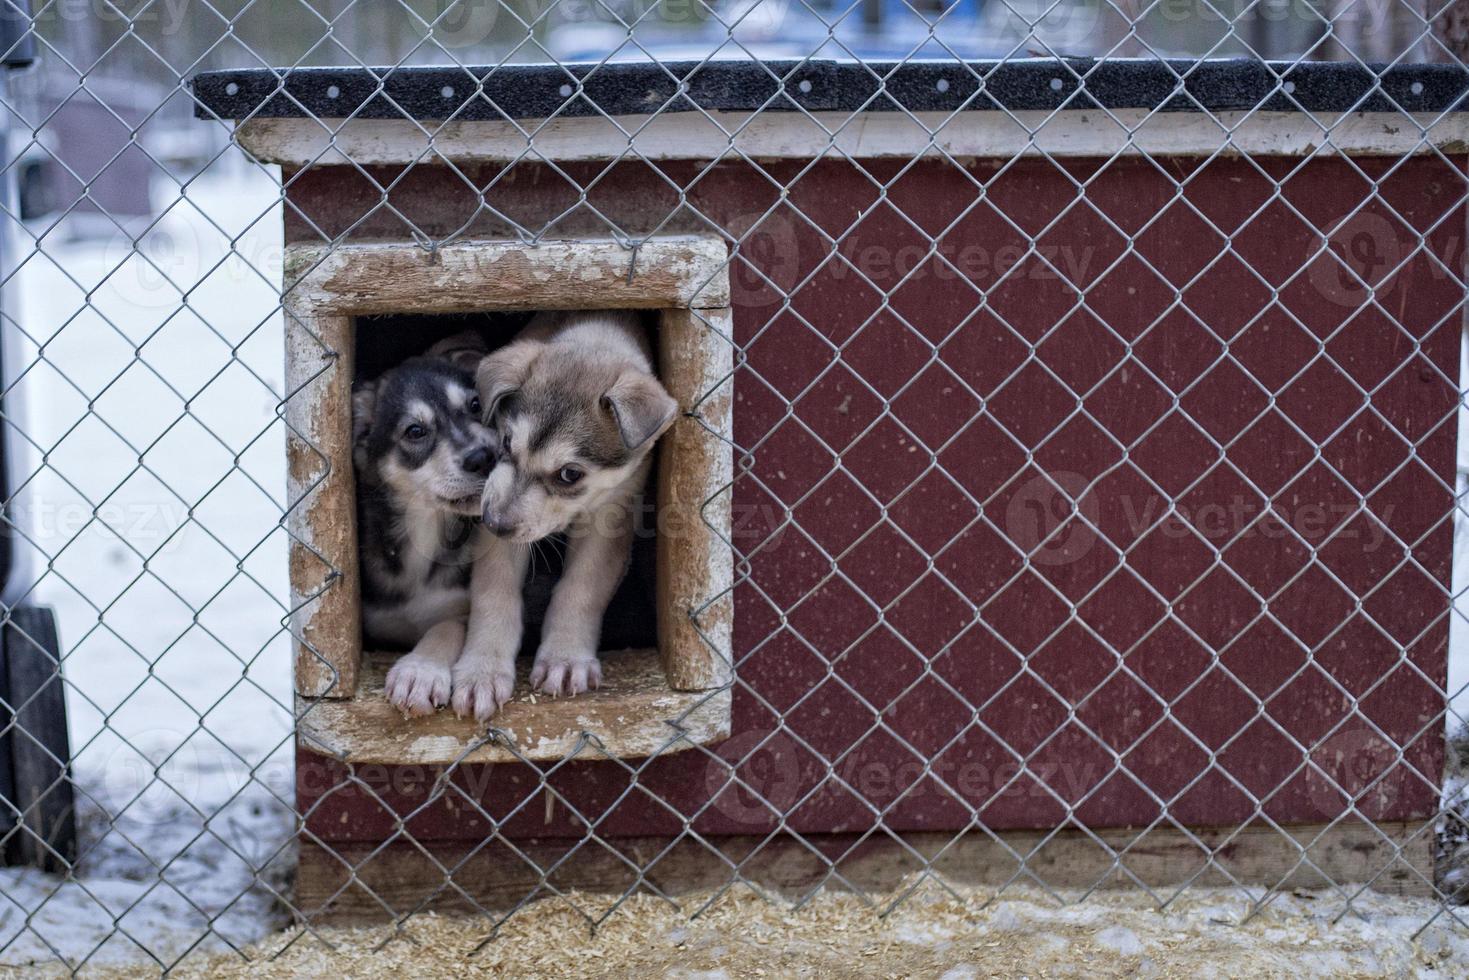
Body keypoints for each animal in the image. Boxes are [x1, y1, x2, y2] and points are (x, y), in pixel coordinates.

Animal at [354, 340, 499, 717]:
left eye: (475, 405)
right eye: (415, 431)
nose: (485, 457)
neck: (425, 525)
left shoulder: (459, 607)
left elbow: (447, 625)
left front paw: (420, 671)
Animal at [452, 314, 675, 719]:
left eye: (570, 474)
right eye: (506, 442)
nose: (492, 522)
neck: (596, 335)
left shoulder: (610, 517)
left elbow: (581, 588)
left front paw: (565, 658)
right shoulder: (500, 531)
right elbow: (494, 591)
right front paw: (482, 670)